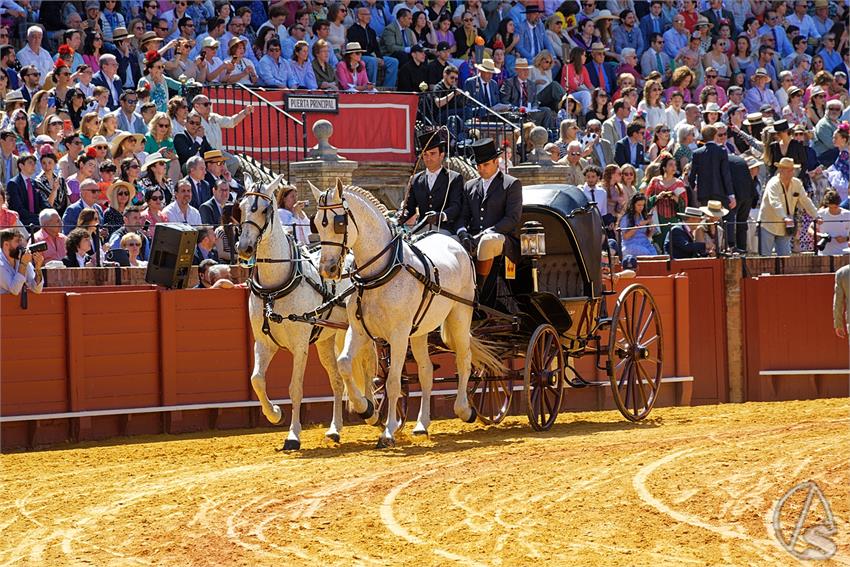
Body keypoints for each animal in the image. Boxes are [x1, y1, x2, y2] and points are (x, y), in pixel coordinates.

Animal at [237, 175, 372, 450]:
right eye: (241, 208)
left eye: (265, 210)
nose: (244, 247)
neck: (274, 286)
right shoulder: (263, 342)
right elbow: (256, 380)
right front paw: (274, 413)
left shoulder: (300, 345)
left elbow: (295, 388)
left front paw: (293, 435)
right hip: (326, 341)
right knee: (337, 380)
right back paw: (335, 429)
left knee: (369, 369)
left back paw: (373, 411)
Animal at [306, 181, 500, 448]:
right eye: (315, 222)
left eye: (339, 223)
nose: (328, 268)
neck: (380, 272)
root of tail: (454, 242)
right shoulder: (359, 330)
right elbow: (345, 364)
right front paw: (366, 409)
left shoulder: (398, 335)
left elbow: (393, 381)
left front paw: (388, 431)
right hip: (420, 330)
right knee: (426, 371)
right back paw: (421, 425)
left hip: (460, 315)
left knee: (464, 358)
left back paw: (465, 409)